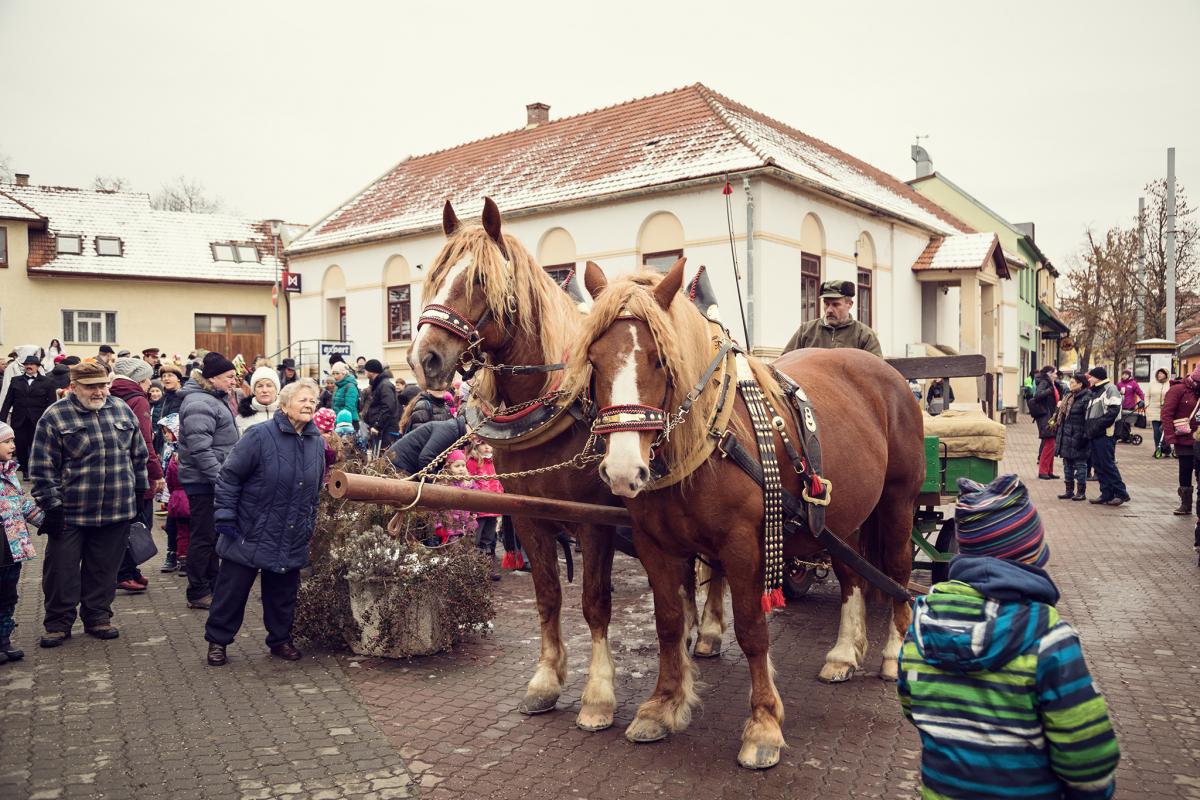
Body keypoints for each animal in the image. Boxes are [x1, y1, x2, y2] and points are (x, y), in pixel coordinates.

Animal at [407, 199, 727, 732]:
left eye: (479, 280)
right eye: (433, 278)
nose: (424, 359)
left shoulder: (593, 520)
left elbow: (595, 603)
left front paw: (598, 696)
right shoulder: (530, 517)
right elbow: (548, 596)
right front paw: (545, 680)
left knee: (713, 566)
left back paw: (710, 633)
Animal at [565, 260, 924, 769]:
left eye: (660, 359)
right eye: (594, 361)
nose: (621, 470)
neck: (711, 441)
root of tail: (887, 374)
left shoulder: (742, 548)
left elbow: (753, 630)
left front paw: (764, 725)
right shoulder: (656, 546)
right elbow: (669, 623)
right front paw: (662, 706)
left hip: (897, 504)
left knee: (896, 572)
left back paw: (893, 653)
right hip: (843, 517)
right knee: (852, 574)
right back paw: (843, 653)